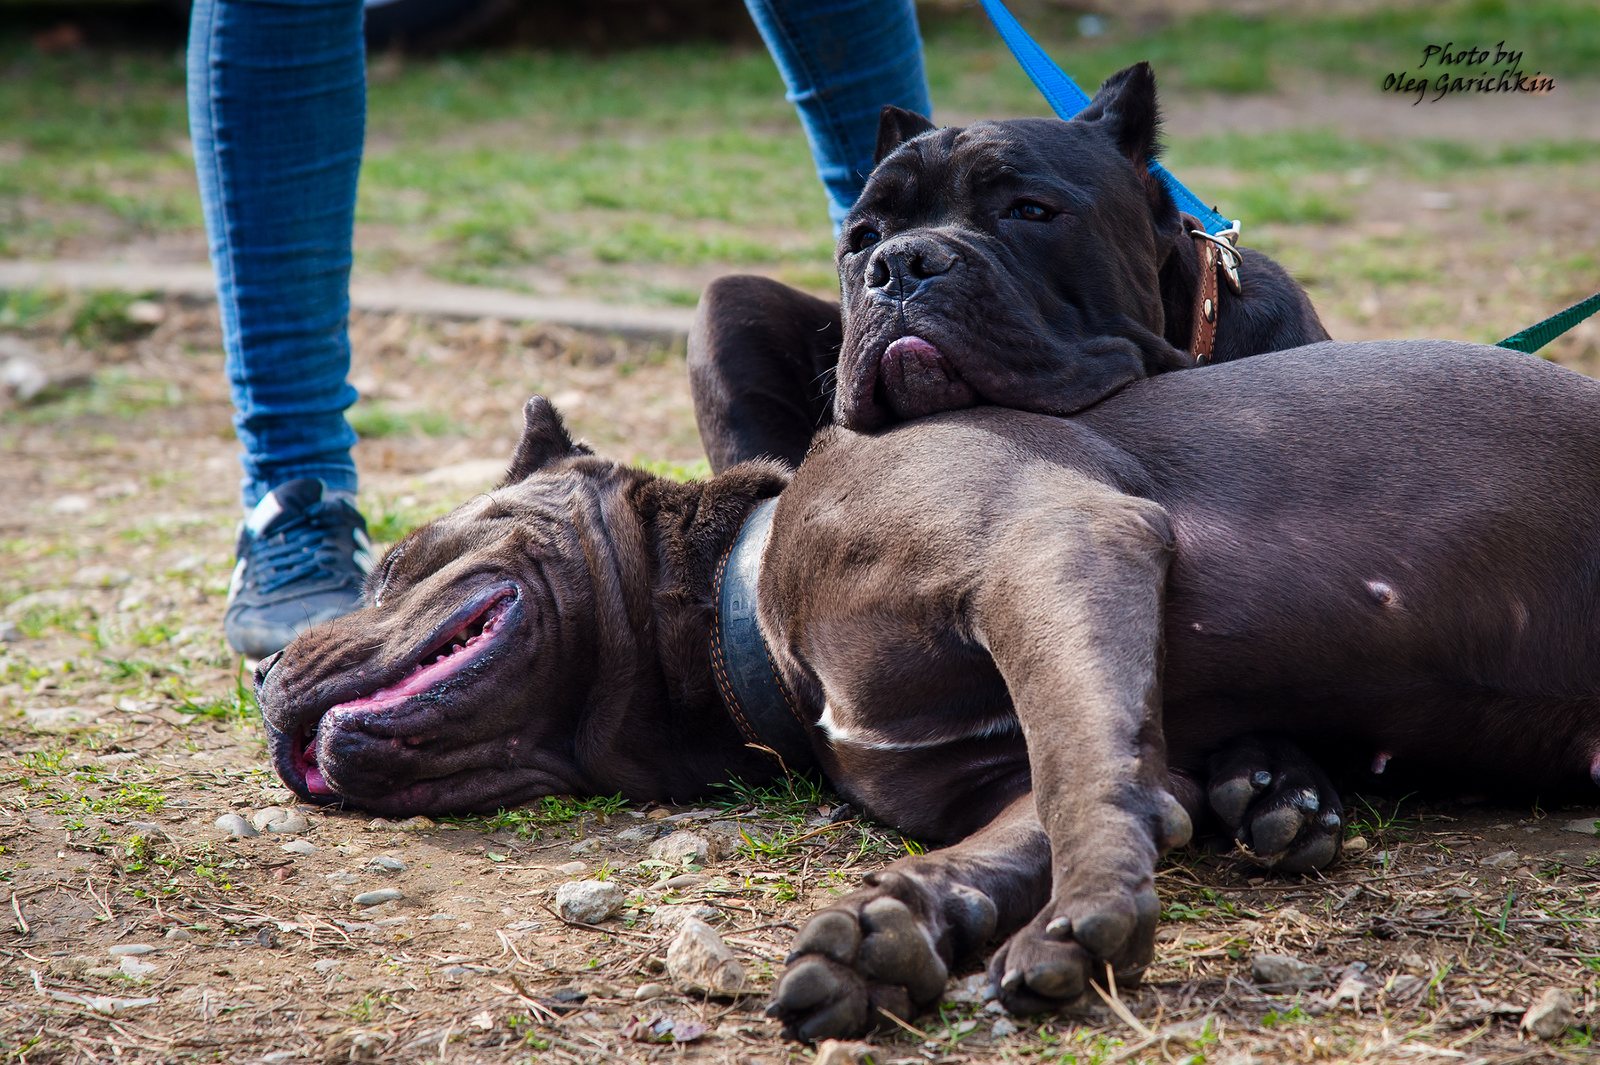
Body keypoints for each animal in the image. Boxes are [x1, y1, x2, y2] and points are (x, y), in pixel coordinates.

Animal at [256, 337, 1600, 1036]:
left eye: (398, 559)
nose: (264, 666)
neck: (753, 601)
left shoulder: (1053, 546)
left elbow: (1081, 781)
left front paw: (1086, 916)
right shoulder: (1010, 748)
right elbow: (1046, 813)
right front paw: (889, 935)